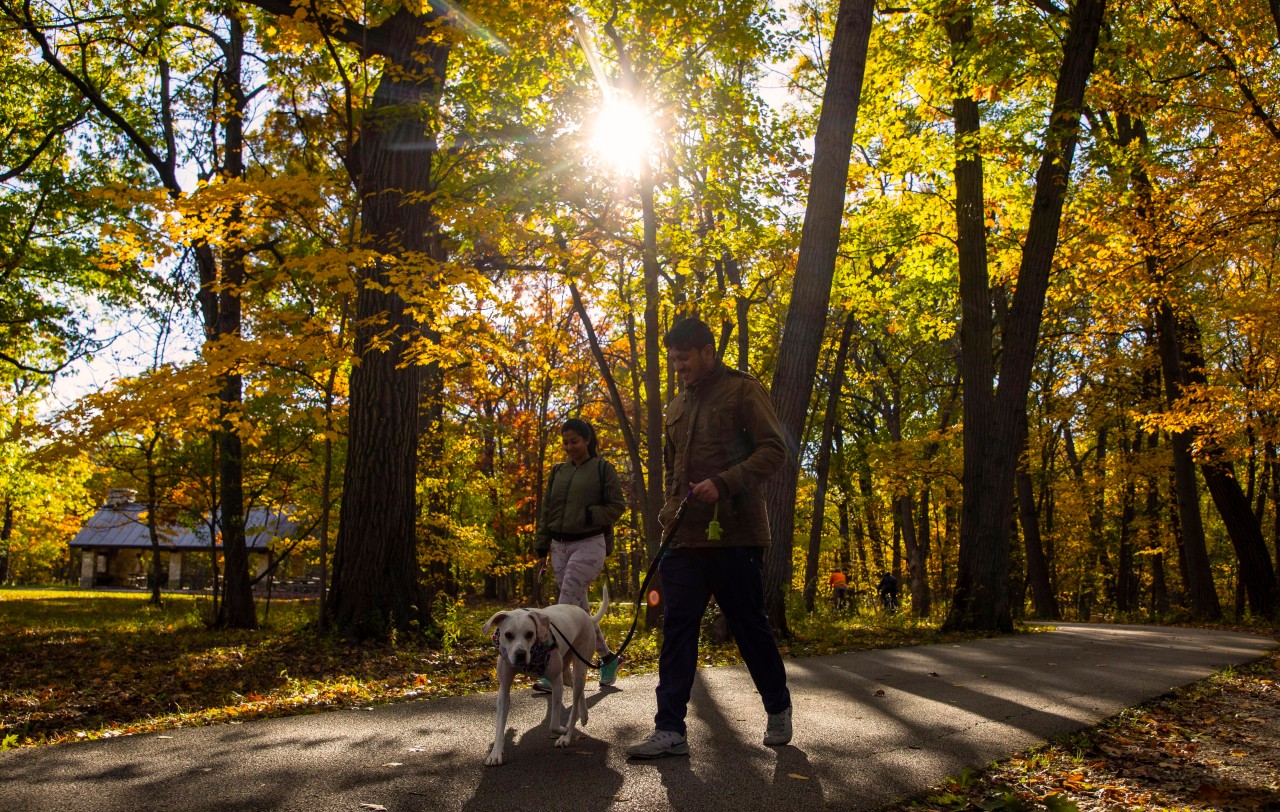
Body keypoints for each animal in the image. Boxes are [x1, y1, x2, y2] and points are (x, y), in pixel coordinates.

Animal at [483, 581, 614, 763]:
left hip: (580, 666)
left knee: (574, 705)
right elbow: (499, 724)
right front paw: (495, 753)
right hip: (568, 673)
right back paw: (584, 715)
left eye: (530, 634)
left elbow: (553, 725)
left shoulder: (556, 682)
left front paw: (563, 730)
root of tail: (586, 615)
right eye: (508, 635)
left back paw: (567, 736)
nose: (520, 654)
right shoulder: (504, 689)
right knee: (578, 690)